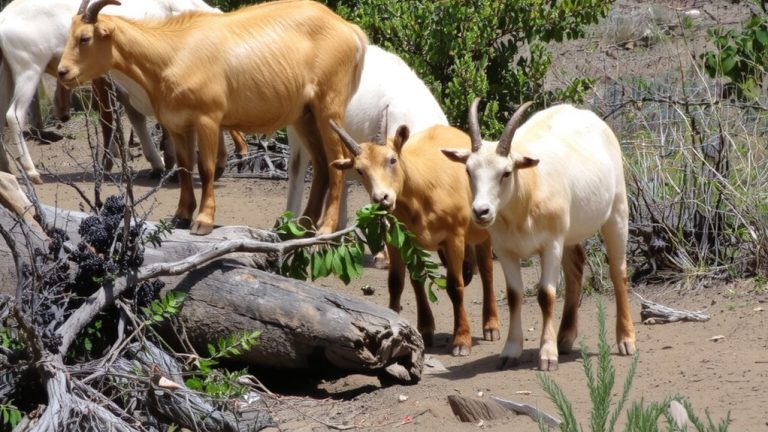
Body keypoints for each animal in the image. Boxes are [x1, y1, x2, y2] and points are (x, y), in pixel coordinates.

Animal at [0, 0, 228, 184]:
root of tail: (5, 18)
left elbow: (136, 117)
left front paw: (159, 164)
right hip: (29, 71)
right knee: (13, 115)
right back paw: (32, 172)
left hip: (7, 75)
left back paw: (7, 169)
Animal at [59, 0, 366, 235]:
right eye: (69, 36)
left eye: (85, 38)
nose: (63, 72)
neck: (172, 53)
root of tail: (351, 31)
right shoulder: (177, 123)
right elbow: (184, 167)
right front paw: (181, 215)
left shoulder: (208, 118)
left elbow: (205, 168)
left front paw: (203, 221)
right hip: (304, 115)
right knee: (322, 165)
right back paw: (302, 225)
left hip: (329, 108)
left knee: (336, 163)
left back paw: (325, 228)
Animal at [330, 114, 499, 356]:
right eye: (360, 169)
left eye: (392, 160)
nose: (382, 198)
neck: (422, 190)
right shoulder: (400, 239)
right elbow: (401, 281)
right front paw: (422, 330)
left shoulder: (454, 237)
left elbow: (454, 286)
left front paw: (461, 340)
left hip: (482, 232)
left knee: (487, 272)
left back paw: (491, 325)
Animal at [442, 99, 637, 371]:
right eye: (469, 171)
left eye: (506, 172)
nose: (481, 211)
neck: (529, 188)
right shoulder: (505, 250)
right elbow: (514, 295)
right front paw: (510, 352)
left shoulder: (551, 245)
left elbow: (546, 295)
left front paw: (547, 355)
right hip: (569, 234)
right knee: (575, 269)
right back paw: (565, 338)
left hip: (616, 213)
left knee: (618, 272)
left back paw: (626, 340)